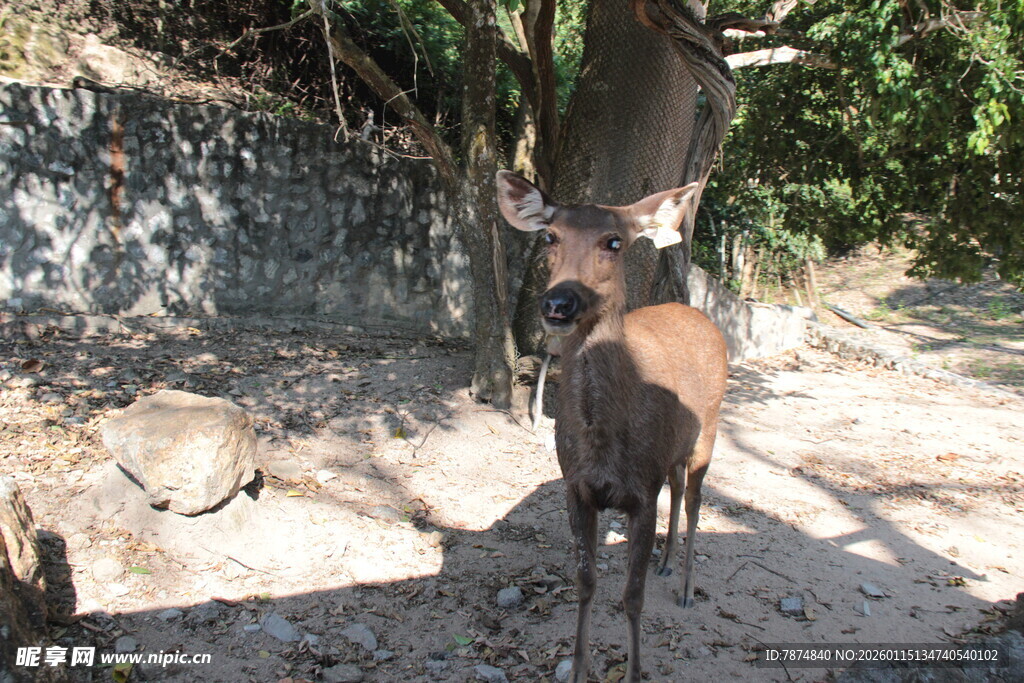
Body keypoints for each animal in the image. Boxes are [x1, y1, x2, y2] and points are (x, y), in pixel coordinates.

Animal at [496, 171, 728, 683]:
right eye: (550, 236)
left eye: (614, 241)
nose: (559, 302)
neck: (604, 448)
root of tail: (698, 313)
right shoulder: (577, 488)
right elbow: (585, 582)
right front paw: (579, 669)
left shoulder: (641, 493)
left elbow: (631, 596)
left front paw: (635, 671)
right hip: (675, 451)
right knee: (677, 489)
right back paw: (666, 565)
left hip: (709, 431)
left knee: (695, 500)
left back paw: (686, 589)